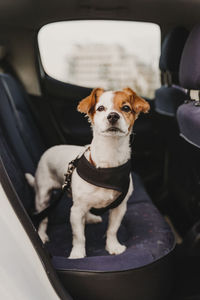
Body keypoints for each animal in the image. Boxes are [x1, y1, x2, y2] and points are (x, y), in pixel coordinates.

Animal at [25, 86, 150, 258]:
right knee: (43, 218)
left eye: (126, 108)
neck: (108, 162)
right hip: (43, 197)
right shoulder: (76, 211)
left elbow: (112, 229)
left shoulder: (119, 207)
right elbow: (79, 236)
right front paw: (78, 254)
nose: (113, 116)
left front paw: (113, 246)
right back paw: (42, 235)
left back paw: (90, 218)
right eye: (100, 108)